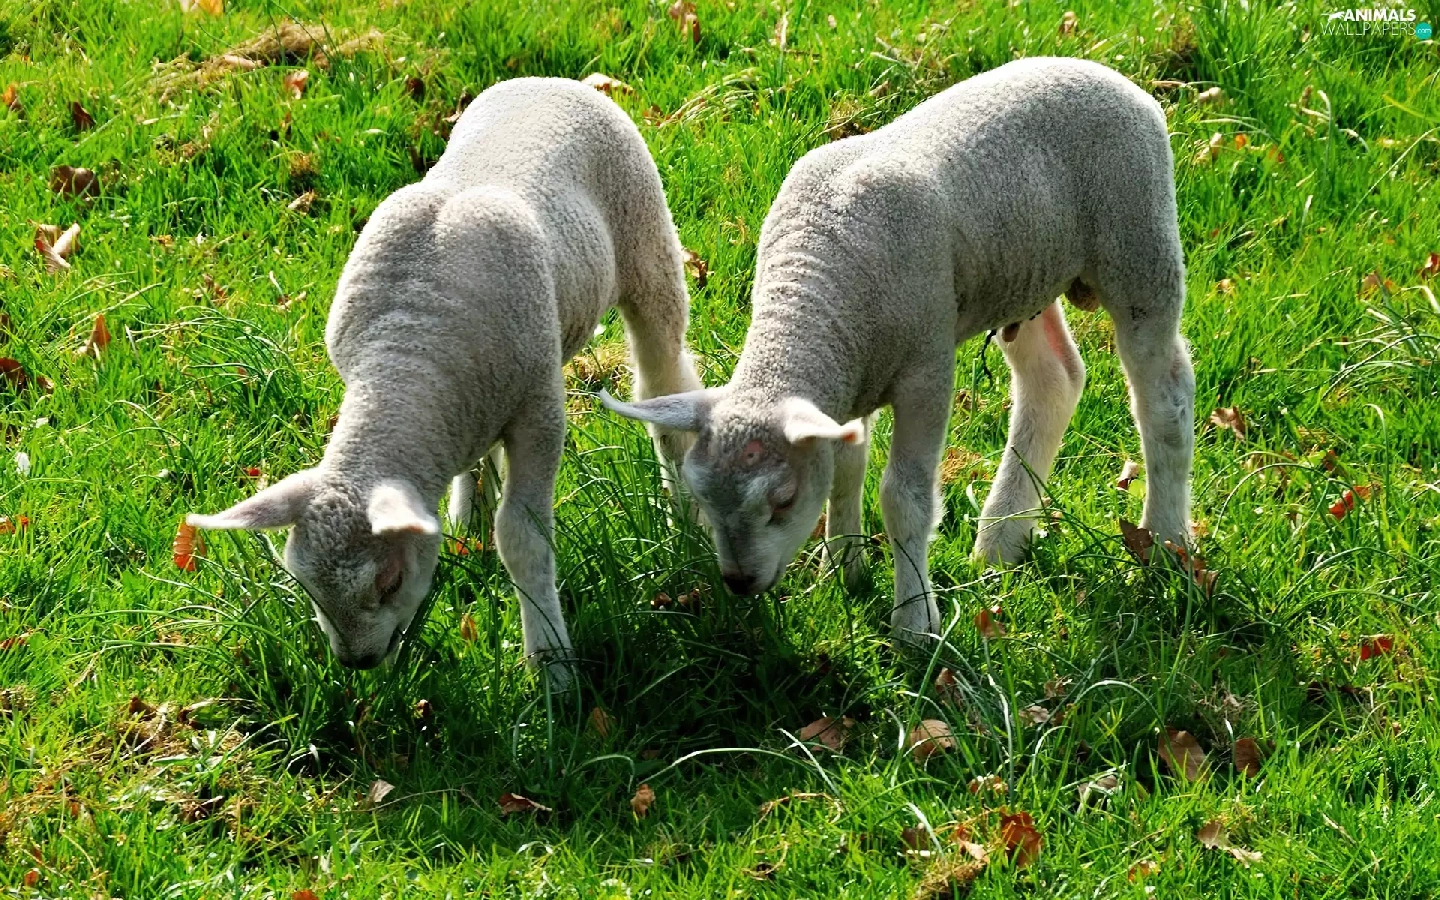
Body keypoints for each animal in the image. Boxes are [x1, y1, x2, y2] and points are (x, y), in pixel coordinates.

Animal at [188, 77, 703, 689]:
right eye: (307, 586)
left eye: (387, 583)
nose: (357, 662)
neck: (410, 348)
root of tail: (554, 82)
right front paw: (468, 524)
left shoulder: (539, 409)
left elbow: (522, 538)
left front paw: (552, 667)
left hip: (646, 242)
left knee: (663, 382)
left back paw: (686, 520)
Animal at [602, 57, 1195, 647]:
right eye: (700, 497)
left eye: (783, 500)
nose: (740, 583)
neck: (814, 289)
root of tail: (1114, 76)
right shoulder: (848, 377)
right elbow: (846, 466)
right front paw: (842, 572)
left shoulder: (926, 369)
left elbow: (904, 499)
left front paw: (914, 622)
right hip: (1023, 277)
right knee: (1054, 382)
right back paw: (1001, 542)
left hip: (1139, 248)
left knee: (1165, 397)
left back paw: (1165, 542)